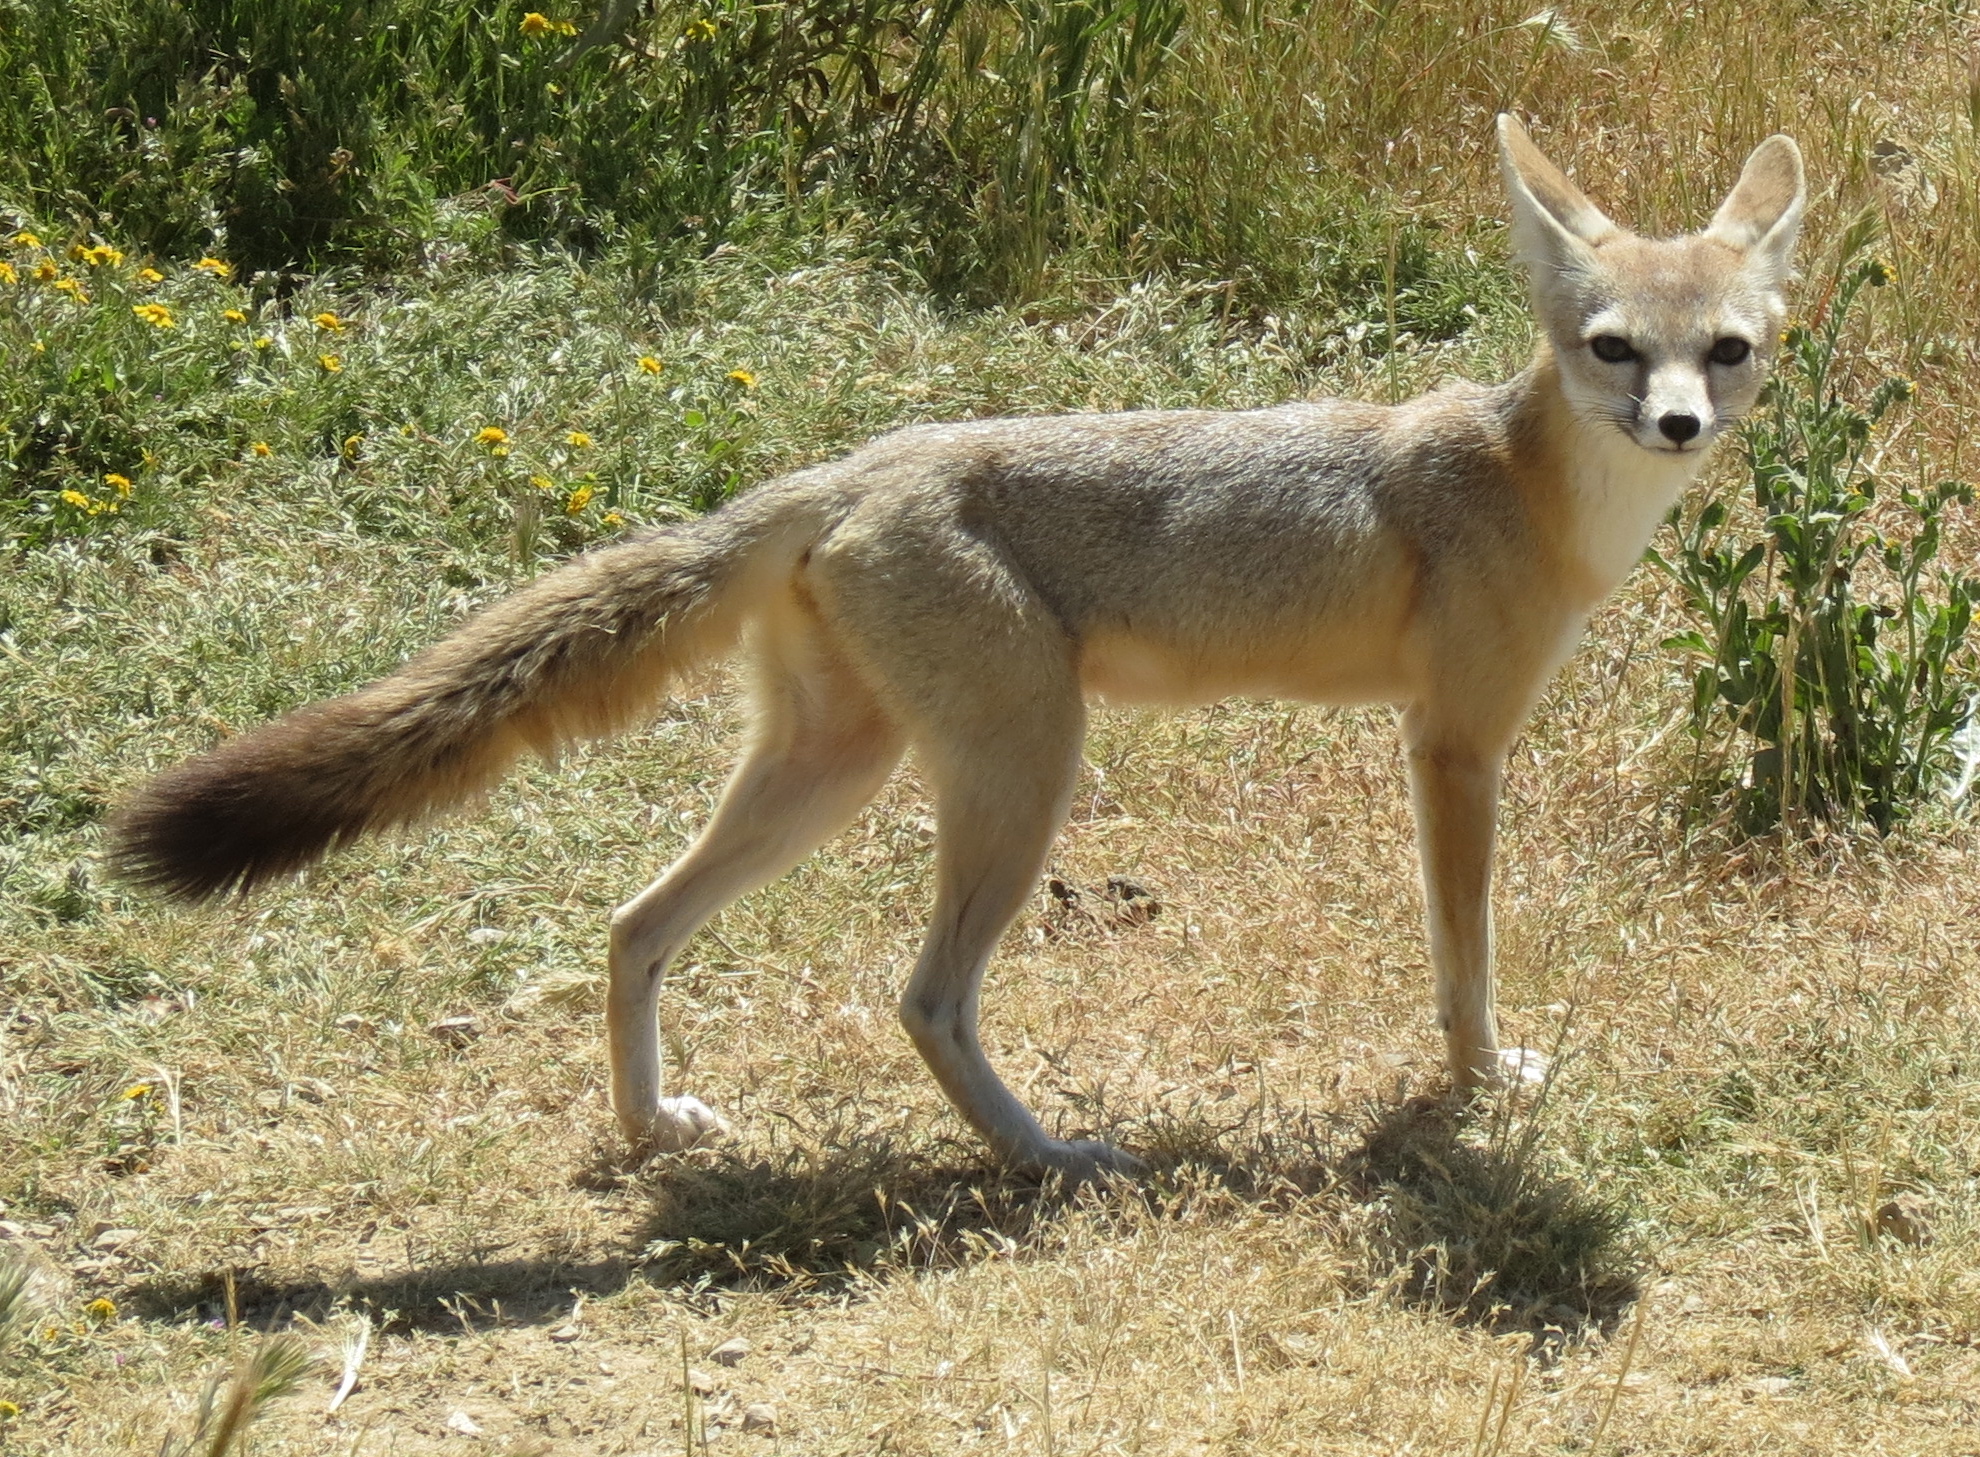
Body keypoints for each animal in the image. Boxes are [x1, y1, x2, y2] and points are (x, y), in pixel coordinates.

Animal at [109, 116, 1805, 1179]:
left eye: (1724, 352)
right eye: (1611, 349)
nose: (1676, 424)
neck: (1534, 492)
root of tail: (849, 467)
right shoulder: (1452, 748)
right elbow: (1467, 962)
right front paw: (1477, 1087)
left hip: (835, 773)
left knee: (633, 924)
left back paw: (658, 1134)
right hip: (1022, 777)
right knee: (924, 997)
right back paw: (1049, 1155)